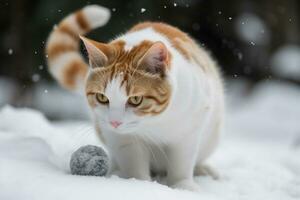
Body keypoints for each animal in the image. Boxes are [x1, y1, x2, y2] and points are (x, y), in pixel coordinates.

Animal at [44, 5, 223, 192]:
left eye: (135, 99)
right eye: (102, 97)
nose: (115, 122)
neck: (154, 121)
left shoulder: (190, 128)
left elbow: (182, 160)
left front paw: (183, 185)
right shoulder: (121, 137)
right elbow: (133, 160)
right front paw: (137, 185)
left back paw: (203, 169)